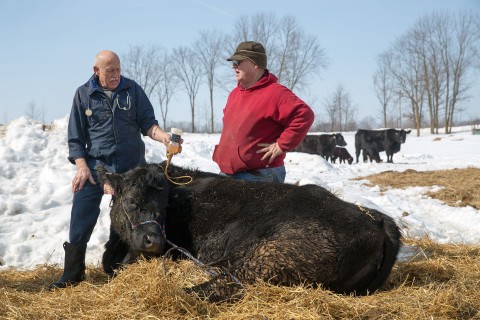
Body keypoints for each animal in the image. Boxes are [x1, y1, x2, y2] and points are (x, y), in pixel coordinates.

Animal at [97, 162, 402, 302]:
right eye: (132, 201)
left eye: (165, 205)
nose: (155, 240)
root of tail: (376, 220)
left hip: (270, 256)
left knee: (223, 284)